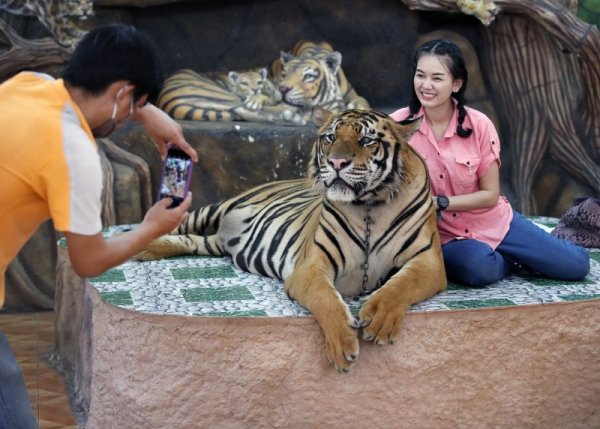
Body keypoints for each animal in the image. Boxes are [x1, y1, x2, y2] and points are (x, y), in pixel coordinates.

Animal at [136, 108, 446, 372]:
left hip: (215, 242)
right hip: (216, 209)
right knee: (179, 224)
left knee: (193, 241)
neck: (369, 205)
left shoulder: (429, 260)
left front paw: (380, 319)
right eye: (330, 137)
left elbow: (403, 285)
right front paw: (342, 345)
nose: (336, 162)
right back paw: (137, 243)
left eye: (367, 140)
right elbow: (326, 300)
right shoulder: (312, 265)